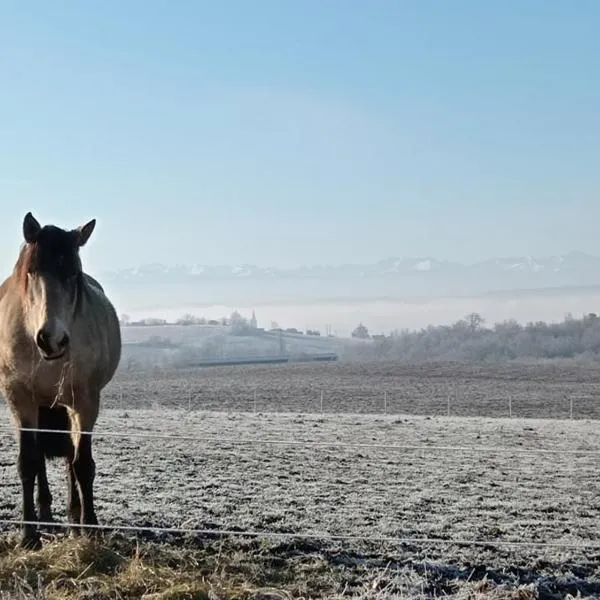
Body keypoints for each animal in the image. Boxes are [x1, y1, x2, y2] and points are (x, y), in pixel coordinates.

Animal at [0, 212, 120, 548]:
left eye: (73, 274)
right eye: (31, 271)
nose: (51, 339)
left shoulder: (85, 401)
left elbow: (82, 464)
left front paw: (89, 526)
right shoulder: (20, 400)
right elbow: (28, 462)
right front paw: (28, 534)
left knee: (69, 457)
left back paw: (73, 516)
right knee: (40, 456)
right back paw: (44, 513)